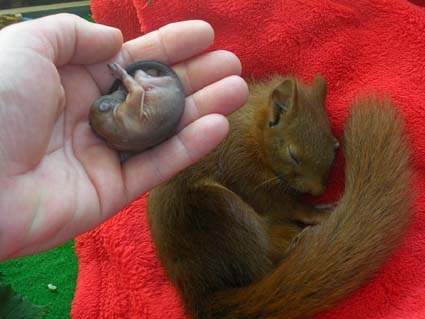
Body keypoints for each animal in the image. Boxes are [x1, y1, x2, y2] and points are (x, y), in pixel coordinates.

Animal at [147, 75, 410, 319]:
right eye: (292, 154)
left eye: (335, 147)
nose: (317, 191)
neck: (252, 130)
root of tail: (197, 291)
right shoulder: (241, 167)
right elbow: (278, 203)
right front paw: (316, 211)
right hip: (219, 209)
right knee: (263, 266)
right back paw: (299, 242)